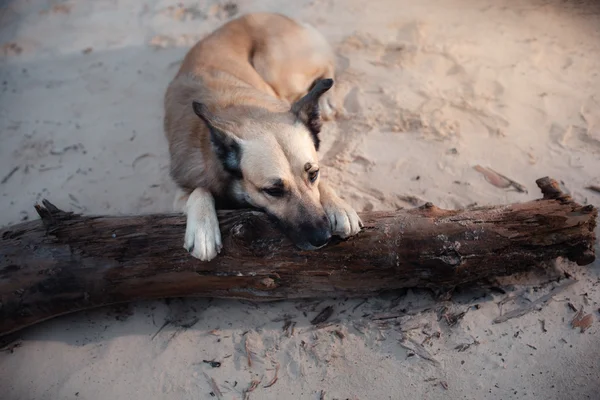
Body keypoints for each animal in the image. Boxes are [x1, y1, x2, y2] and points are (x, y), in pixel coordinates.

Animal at [163, 12, 360, 260]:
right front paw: (203, 229)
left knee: (329, 66)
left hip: (279, 72)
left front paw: (339, 205)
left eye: (313, 174)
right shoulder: (179, 194)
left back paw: (326, 98)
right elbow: (199, 191)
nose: (322, 238)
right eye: (273, 191)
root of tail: (273, 14)